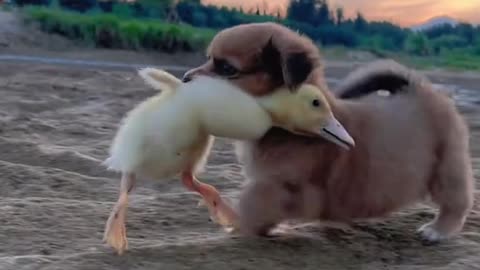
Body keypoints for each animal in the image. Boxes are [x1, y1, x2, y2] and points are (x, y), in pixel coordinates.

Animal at [182, 22, 474, 243]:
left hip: (447, 167)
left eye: (227, 69)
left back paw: (439, 230)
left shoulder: (281, 186)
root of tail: (418, 88)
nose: (185, 79)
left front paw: (238, 225)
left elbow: (252, 205)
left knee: (456, 202)